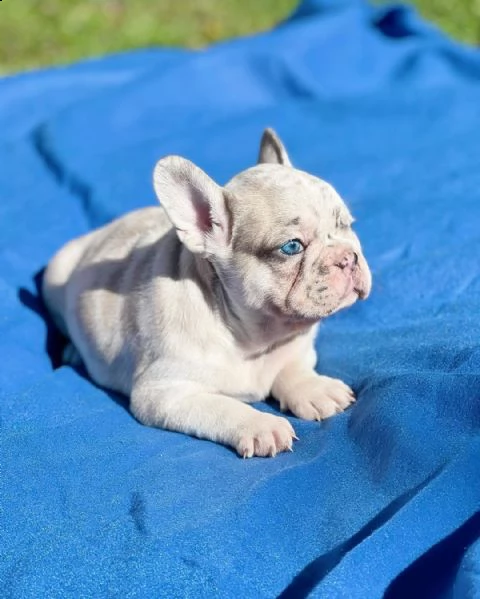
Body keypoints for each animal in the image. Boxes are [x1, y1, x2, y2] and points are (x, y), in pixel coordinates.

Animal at [43, 129, 372, 460]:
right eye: (291, 247)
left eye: (347, 225)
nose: (348, 257)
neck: (254, 337)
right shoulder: (165, 393)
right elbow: (222, 406)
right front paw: (261, 426)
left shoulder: (296, 346)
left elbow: (292, 366)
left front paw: (313, 388)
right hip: (55, 275)